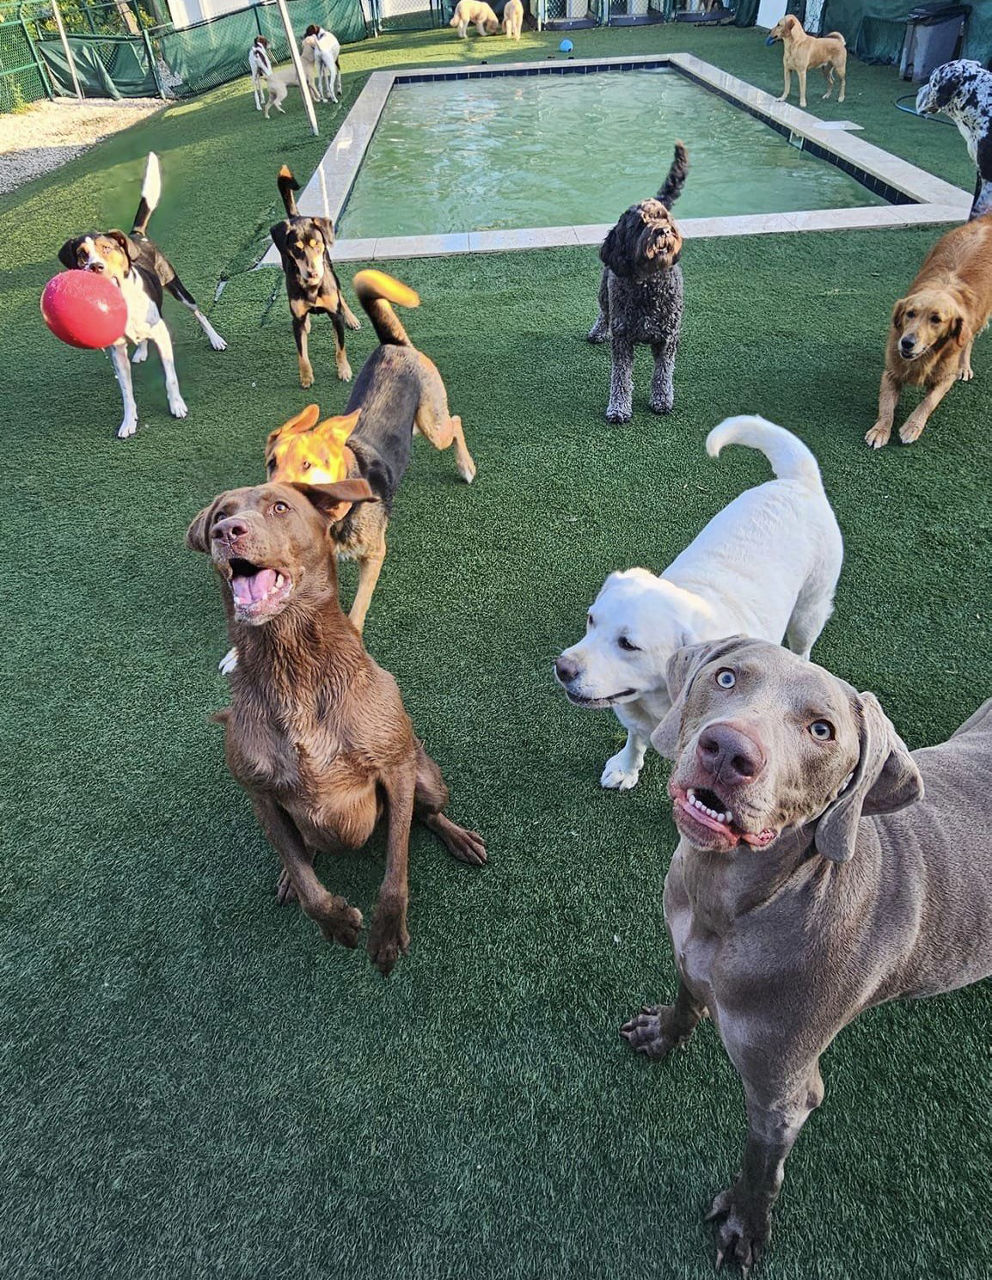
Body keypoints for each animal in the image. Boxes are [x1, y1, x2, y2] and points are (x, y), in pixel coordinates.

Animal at [555, 414, 839, 783]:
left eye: (628, 644)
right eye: (591, 620)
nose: (562, 668)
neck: (660, 701)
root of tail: (798, 481)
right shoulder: (634, 713)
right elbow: (635, 738)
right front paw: (626, 767)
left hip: (808, 612)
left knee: (803, 648)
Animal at [619, 637, 992, 1269]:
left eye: (822, 730)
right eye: (725, 677)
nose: (728, 751)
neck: (727, 906)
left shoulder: (784, 1094)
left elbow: (760, 1169)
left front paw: (744, 1224)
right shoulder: (688, 957)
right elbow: (687, 999)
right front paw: (662, 1034)